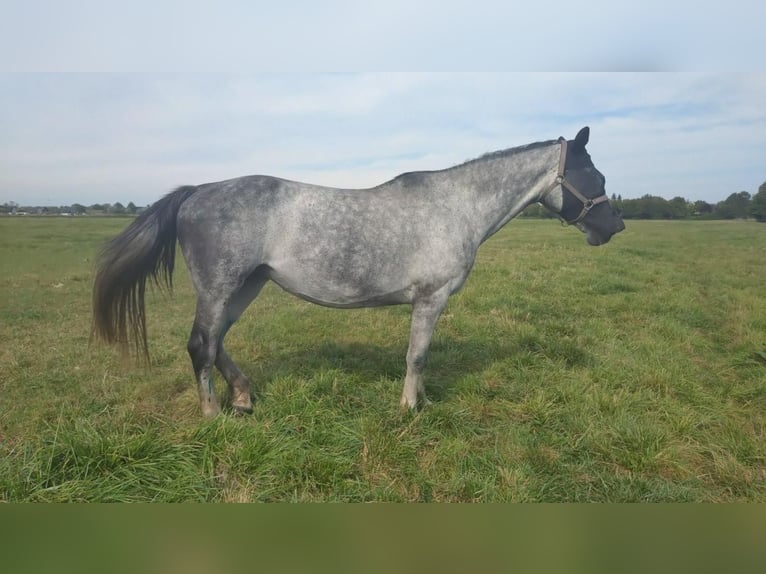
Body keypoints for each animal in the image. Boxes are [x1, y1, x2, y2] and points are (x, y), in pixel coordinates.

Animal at [92, 126, 625, 417]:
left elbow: (419, 357)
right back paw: (212, 413)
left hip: (246, 285)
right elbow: (417, 356)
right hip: (220, 286)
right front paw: (410, 409)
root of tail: (197, 191)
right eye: (595, 176)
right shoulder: (431, 298)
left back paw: (243, 398)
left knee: (217, 340)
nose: (614, 226)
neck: (456, 207)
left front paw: (422, 402)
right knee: (200, 345)